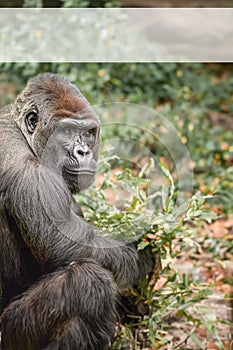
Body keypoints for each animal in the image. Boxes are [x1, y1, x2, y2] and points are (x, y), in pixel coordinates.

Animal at [0, 72, 153, 348]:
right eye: (67, 131)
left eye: (88, 133)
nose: (84, 151)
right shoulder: (30, 174)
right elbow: (62, 244)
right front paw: (140, 255)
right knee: (87, 282)